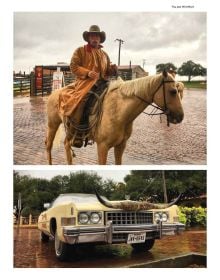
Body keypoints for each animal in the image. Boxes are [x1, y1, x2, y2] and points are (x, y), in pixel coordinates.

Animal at [45, 70, 184, 165]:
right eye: (173, 91)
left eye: (178, 91)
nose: (180, 116)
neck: (119, 112)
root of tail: (54, 93)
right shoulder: (102, 146)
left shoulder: (120, 146)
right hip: (53, 124)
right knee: (49, 145)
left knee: (66, 144)